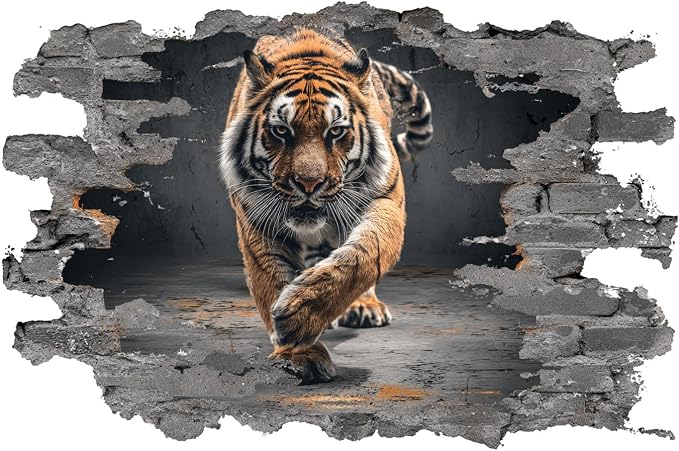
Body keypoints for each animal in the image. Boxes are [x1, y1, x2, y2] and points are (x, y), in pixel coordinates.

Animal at [219, 28, 433, 384]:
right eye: (281, 131)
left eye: (335, 132)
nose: (309, 183)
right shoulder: (256, 217)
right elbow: (272, 276)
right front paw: (297, 353)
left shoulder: (385, 200)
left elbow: (361, 257)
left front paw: (299, 314)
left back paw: (364, 308)